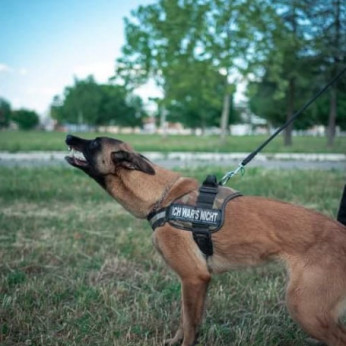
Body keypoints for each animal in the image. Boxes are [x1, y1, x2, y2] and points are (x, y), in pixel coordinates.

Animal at [65, 134, 346, 346]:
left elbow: (190, 326)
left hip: (304, 307)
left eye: (93, 143)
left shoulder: (194, 278)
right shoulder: (192, 282)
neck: (163, 197)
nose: (68, 136)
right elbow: (185, 319)